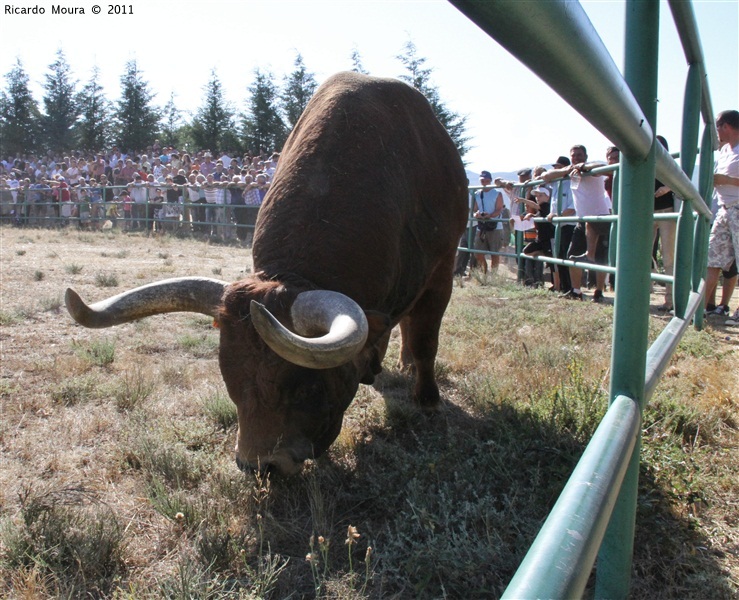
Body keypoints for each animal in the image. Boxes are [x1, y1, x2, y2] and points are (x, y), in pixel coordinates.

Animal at [65, 71, 468, 474]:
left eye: (307, 385)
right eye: (228, 374)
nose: (259, 465)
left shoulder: (443, 269)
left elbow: (426, 341)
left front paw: (428, 400)